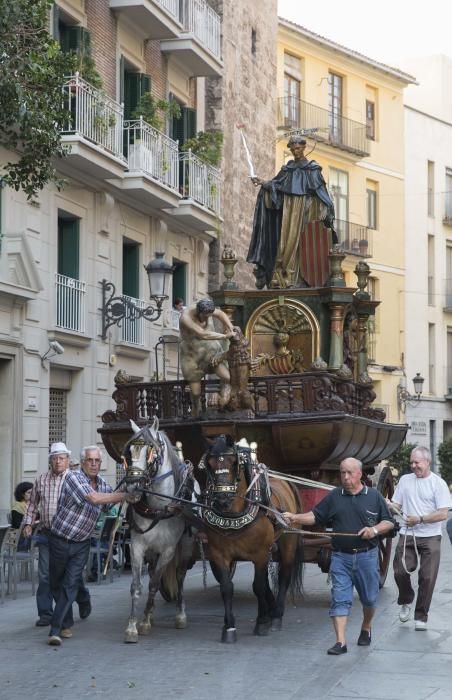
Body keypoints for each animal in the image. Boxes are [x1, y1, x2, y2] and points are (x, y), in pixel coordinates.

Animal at [123, 418, 194, 644]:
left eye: (151, 452)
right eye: (129, 452)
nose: (132, 486)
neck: (158, 506)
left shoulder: (168, 550)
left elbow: (154, 584)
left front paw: (144, 622)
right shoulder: (137, 547)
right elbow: (136, 586)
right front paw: (132, 626)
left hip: (186, 546)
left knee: (180, 576)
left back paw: (180, 614)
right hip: (151, 551)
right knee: (155, 572)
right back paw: (152, 612)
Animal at [199, 434, 302, 644]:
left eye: (234, 462)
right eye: (209, 465)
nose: (222, 499)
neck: (233, 516)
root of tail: (285, 482)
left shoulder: (260, 554)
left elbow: (258, 586)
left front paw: (262, 622)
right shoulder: (218, 554)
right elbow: (226, 587)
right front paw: (229, 626)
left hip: (288, 544)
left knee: (284, 576)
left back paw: (276, 615)